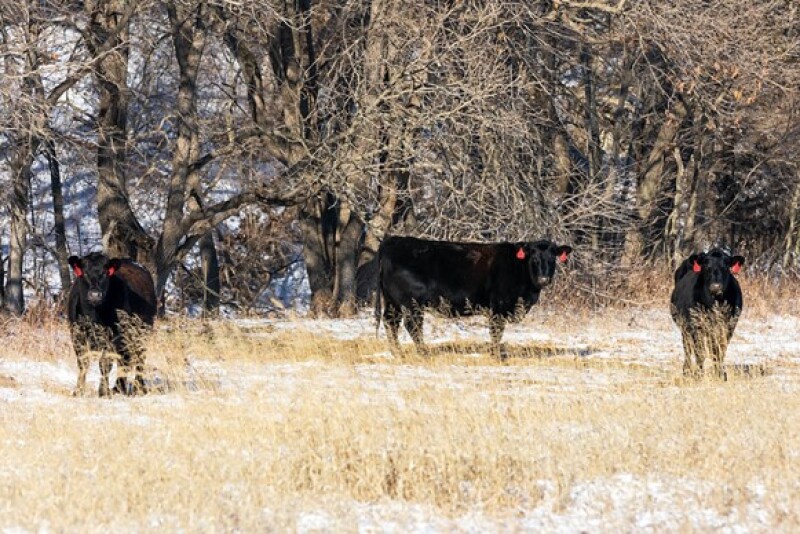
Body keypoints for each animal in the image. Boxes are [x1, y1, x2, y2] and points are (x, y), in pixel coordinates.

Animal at [67, 252, 157, 397]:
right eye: (84, 273)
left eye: (105, 273)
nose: (95, 294)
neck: (94, 315)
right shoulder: (76, 334)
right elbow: (83, 363)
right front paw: (78, 390)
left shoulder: (112, 337)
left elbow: (105, 363)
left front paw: (103, 391)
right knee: (125, 360)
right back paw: (119, 388)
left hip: (142, 333)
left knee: (138, 359)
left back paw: (138, 388)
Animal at [375, 236, 572, 357]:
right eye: (534, 259)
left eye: (552, 259)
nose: (543, 279)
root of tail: (393, 241)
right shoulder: (499, 305)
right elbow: (496, 332)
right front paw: (496, 355)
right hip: (411, 303)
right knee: (412, 326)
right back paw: (423, 352)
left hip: (393, 302)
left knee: (391, 322)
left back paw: (397, 352)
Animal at [670, 248, 745, 379]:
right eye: (706, 266)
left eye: (726, 266)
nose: (716, 286)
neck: (715, 302)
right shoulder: (696, 325)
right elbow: (700, 352)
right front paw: (699, 375)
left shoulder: (729, 326)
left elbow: (720, 351)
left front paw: (721, 375)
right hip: (685, 327)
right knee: (687, 348)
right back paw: (686, 371)